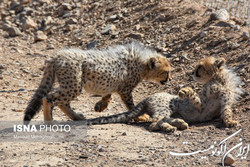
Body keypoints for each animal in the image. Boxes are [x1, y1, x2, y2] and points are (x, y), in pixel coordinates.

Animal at [23, 41, 172, 124]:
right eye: (166, 72)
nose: (169, 79)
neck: (142, 62)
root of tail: (57, 55)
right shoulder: (125, 90)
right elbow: (131, 105)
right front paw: (140, 117)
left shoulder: (114, 83)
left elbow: (108, 94)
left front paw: (101, 105)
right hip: (74, 85)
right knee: (49, 98)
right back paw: (49, 121)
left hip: (70, 85)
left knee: (61, 102)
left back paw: (77, 117)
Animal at [87, 56, 242, 131]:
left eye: (200, 66)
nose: (192, 73)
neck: (218, 79)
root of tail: (148, 97)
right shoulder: (201, 105)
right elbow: (194, 96)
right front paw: (185, 90)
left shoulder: (225, 103)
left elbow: (227, 113)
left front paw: (231, 122)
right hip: (167, 106)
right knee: (155, 121)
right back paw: (169, 127)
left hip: (169, 110)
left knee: (161, 119)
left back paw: (179, 123)